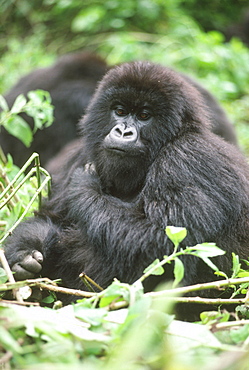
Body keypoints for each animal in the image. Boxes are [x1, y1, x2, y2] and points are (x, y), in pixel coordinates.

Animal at [3, 62, 249, 320]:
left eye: (144, 116)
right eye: (119, 111)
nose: (123, 132)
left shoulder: (189, 158)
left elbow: (165, 243)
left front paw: (86, 188)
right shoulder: (81, 154)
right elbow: (51, 219)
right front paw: (24, 253)